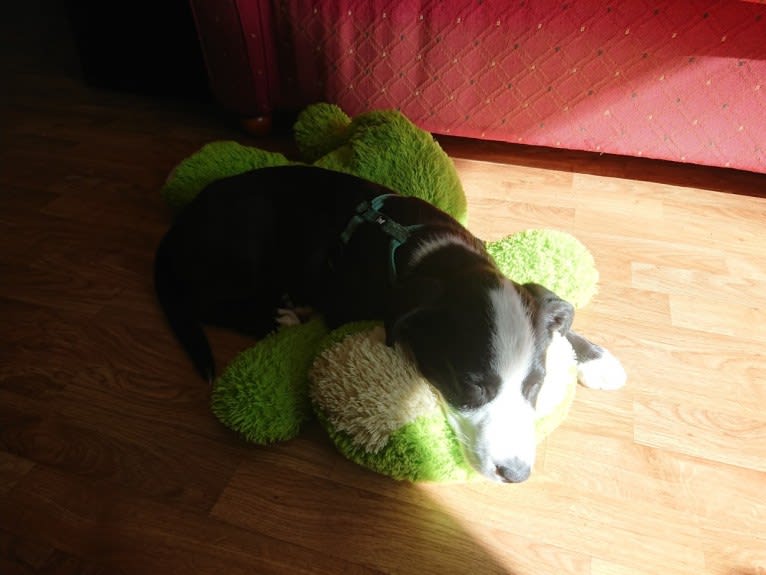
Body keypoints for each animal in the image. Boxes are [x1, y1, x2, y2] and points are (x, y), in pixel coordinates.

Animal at [153, 164, 628, 484]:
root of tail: (179, 225)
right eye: (471, 384)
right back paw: (278, 314)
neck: (437, 255)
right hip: (240, 245)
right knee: (205, 299)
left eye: (536, 385)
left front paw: (596, 358)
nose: (515, 473)